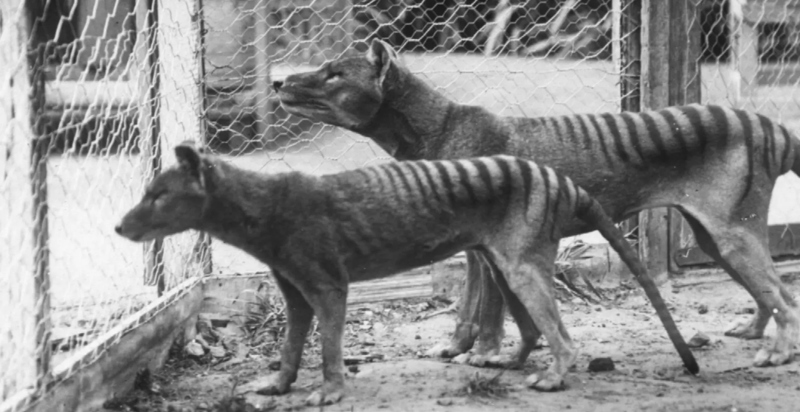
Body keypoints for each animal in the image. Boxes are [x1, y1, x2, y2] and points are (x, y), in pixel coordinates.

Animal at [115, 142, 696, 406]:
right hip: (502, 263)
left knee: (562, 335)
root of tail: (559, 179)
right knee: (532, 328)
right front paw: (278, 385)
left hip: (521, 266)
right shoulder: (294, 291)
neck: (263, 206)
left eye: (158, 195)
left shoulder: (328, 285)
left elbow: (328, 347)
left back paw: (554, 376)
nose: (119, 225)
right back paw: (508, 361)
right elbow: (290, 345)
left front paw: (329, 391)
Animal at [273, 39, 800, 368]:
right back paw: (756, 333)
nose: (278, 82)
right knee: (770, 295)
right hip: (712, 239)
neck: (439, 127)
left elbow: (487, 311)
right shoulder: (474, 249)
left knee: (784, 296)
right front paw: (456, 348)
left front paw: (484, 354)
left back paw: (777, 352)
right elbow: (466, 308)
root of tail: (770, 125)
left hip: (733, 234)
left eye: (334, 74)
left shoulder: (490, 249)